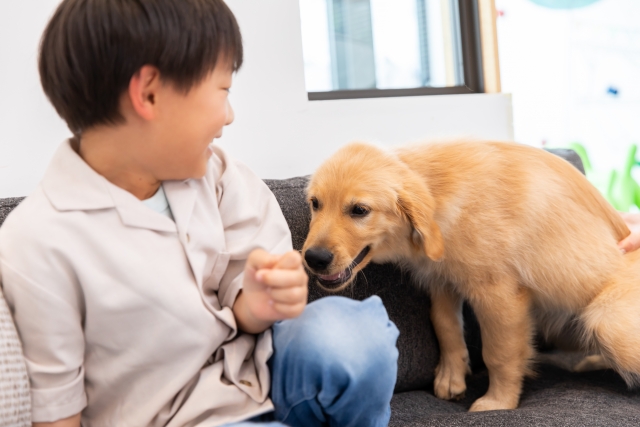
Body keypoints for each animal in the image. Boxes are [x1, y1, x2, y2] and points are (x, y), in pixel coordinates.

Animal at [302, 142, 640, 412]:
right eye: (315, 203)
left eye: (359, 210)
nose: (313, 259)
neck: (440, 194)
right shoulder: (441, 280)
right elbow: (445, 326)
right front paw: (451, 376)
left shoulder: (498, 294)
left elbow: (499, 354)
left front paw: (498, 402)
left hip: (606, 322)